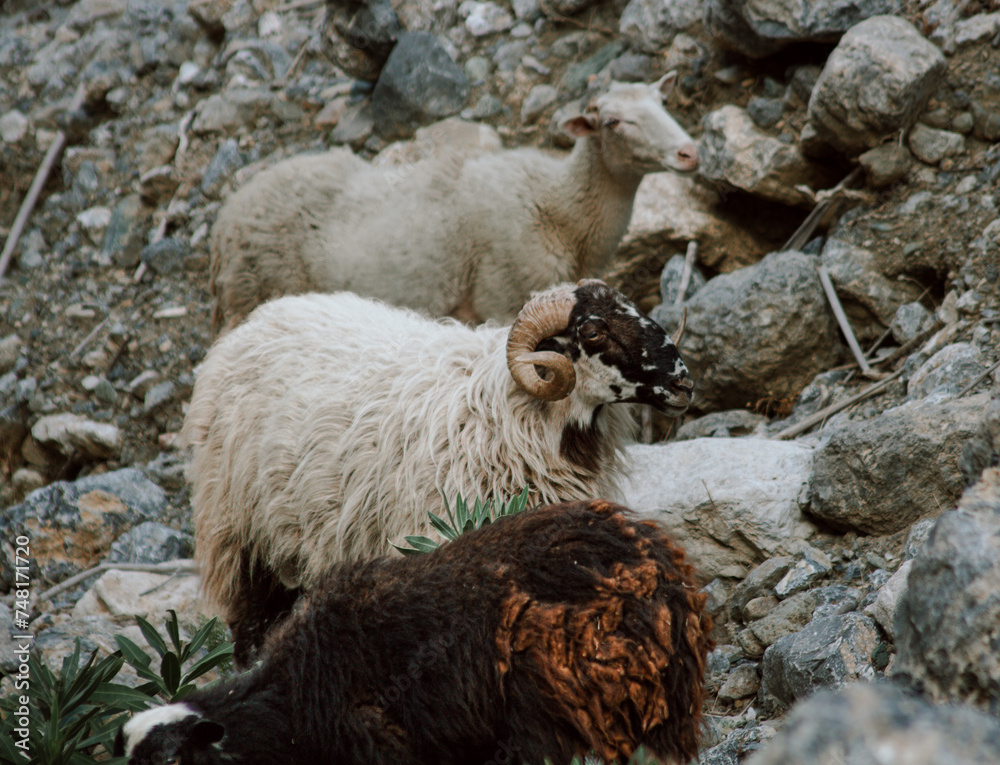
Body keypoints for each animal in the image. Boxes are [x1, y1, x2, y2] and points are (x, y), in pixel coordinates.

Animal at [182, 279, 694, 665]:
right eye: (592, 331)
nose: (683, 382)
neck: (506, 415)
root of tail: (260, 318)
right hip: (239, 536)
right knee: (248, 629)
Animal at [208, 73, 699, 333]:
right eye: (613, 122)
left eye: (663, 101)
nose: (689, 152)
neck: (561, 208)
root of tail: (226, 219)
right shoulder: (503, 300)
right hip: (252, 292)